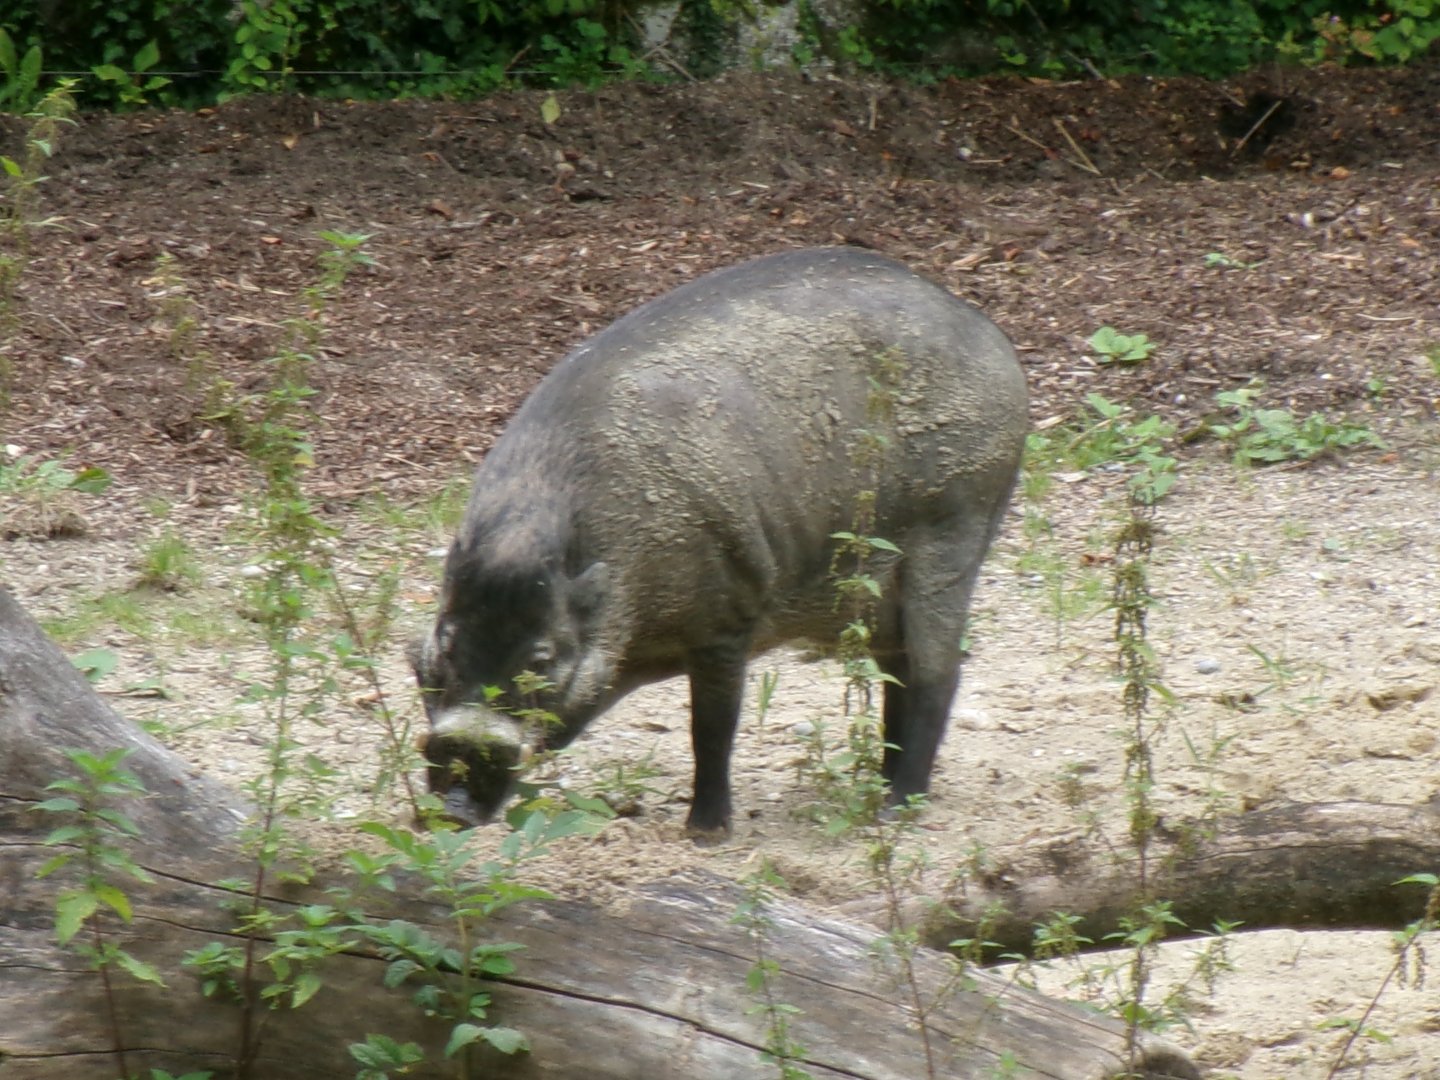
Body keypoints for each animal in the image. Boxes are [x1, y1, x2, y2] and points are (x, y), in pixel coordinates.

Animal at [412, 246, 1028, 836]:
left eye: (541, 658)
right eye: (446, 643)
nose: (454, 812)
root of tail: (991, 336)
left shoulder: (728, 615)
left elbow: (710, 726)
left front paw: (705, 833)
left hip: (956, 522)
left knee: (939, 669)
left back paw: (895, 810)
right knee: (895, 666)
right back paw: (878, 789)